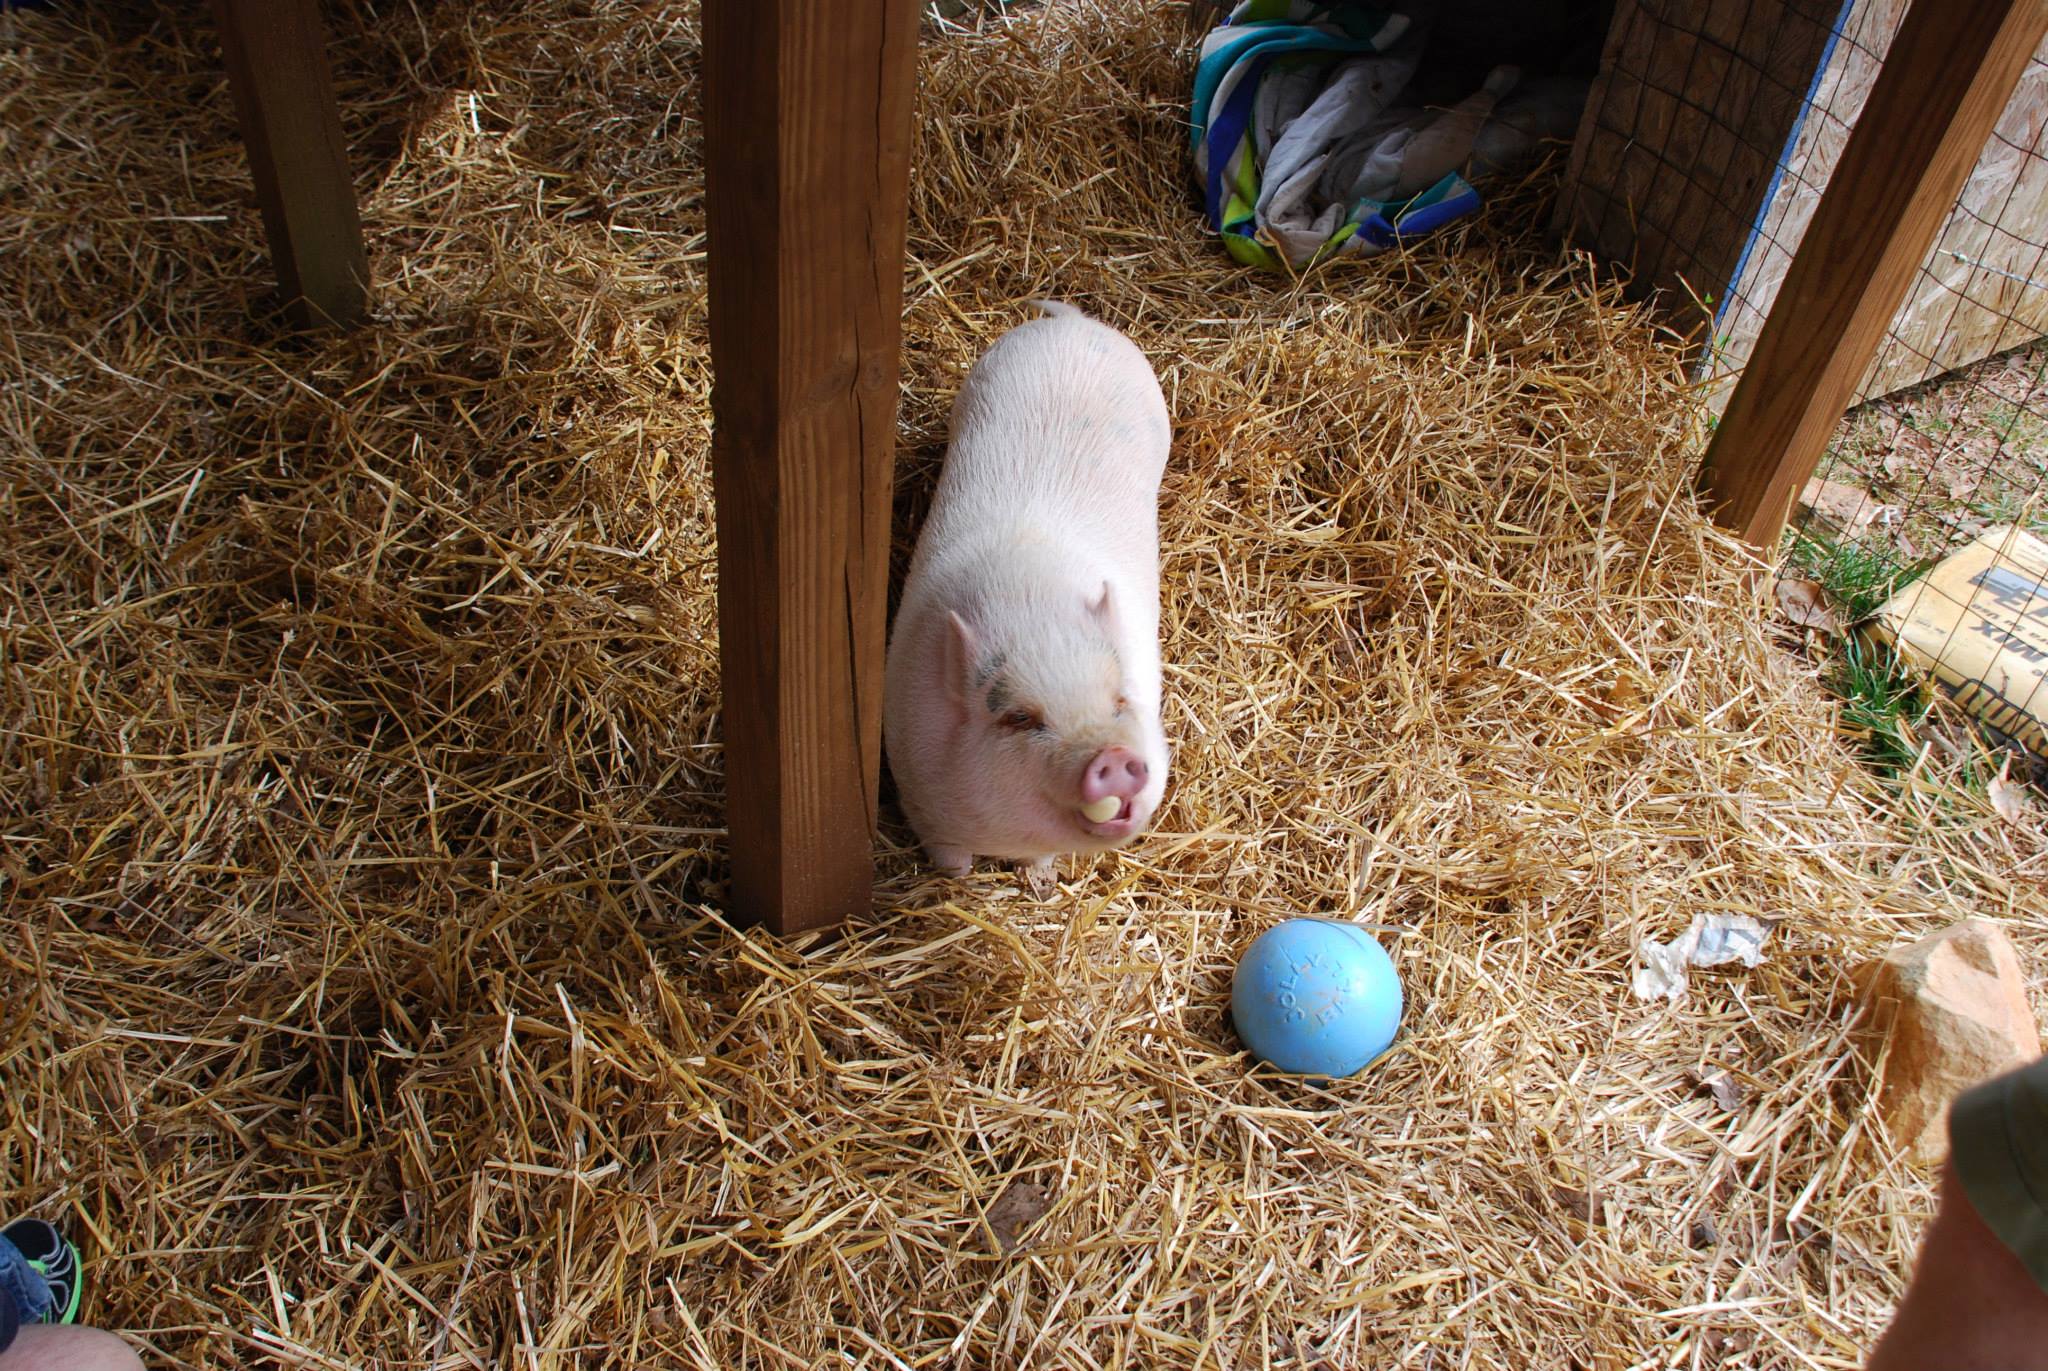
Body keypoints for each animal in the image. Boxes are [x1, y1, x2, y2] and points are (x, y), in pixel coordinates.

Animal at [883, 301, 1172, 895]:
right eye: (1020, 718)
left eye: (1120, 701)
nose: (1112, 757)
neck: (1033, 610)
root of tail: (1072, 322)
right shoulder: (915, 789)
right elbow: (948, 853)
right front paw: (960, 879)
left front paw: (1038, 882)